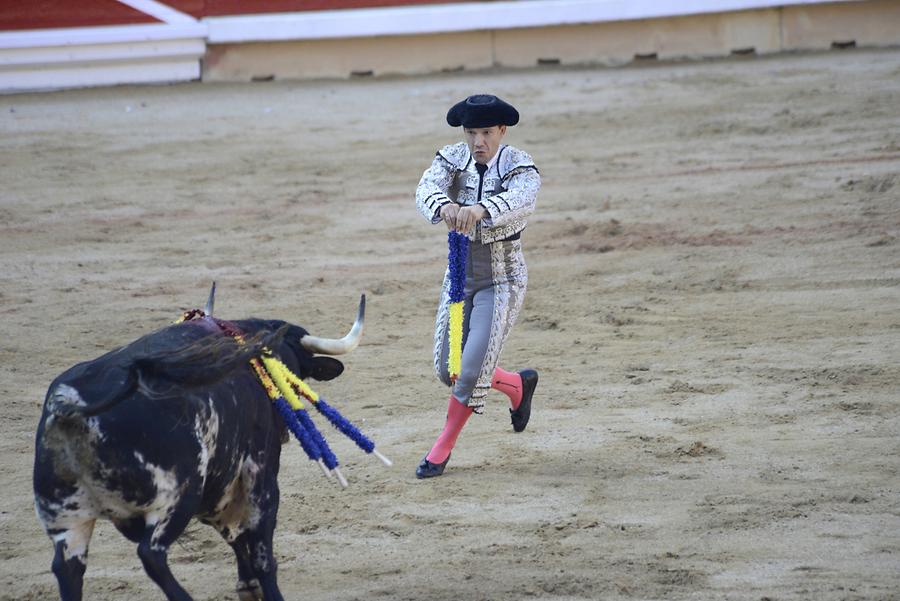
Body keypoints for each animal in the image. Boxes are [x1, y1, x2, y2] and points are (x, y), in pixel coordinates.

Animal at [34, 298, 366, 600]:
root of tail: (72, 408)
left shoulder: (219, 486)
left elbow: (233, 533)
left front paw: (247, 584)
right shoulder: (258, 473)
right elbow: (260, 548)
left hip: (67, 518)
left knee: (67, 570)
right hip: (177, 497)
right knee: (151, 553)